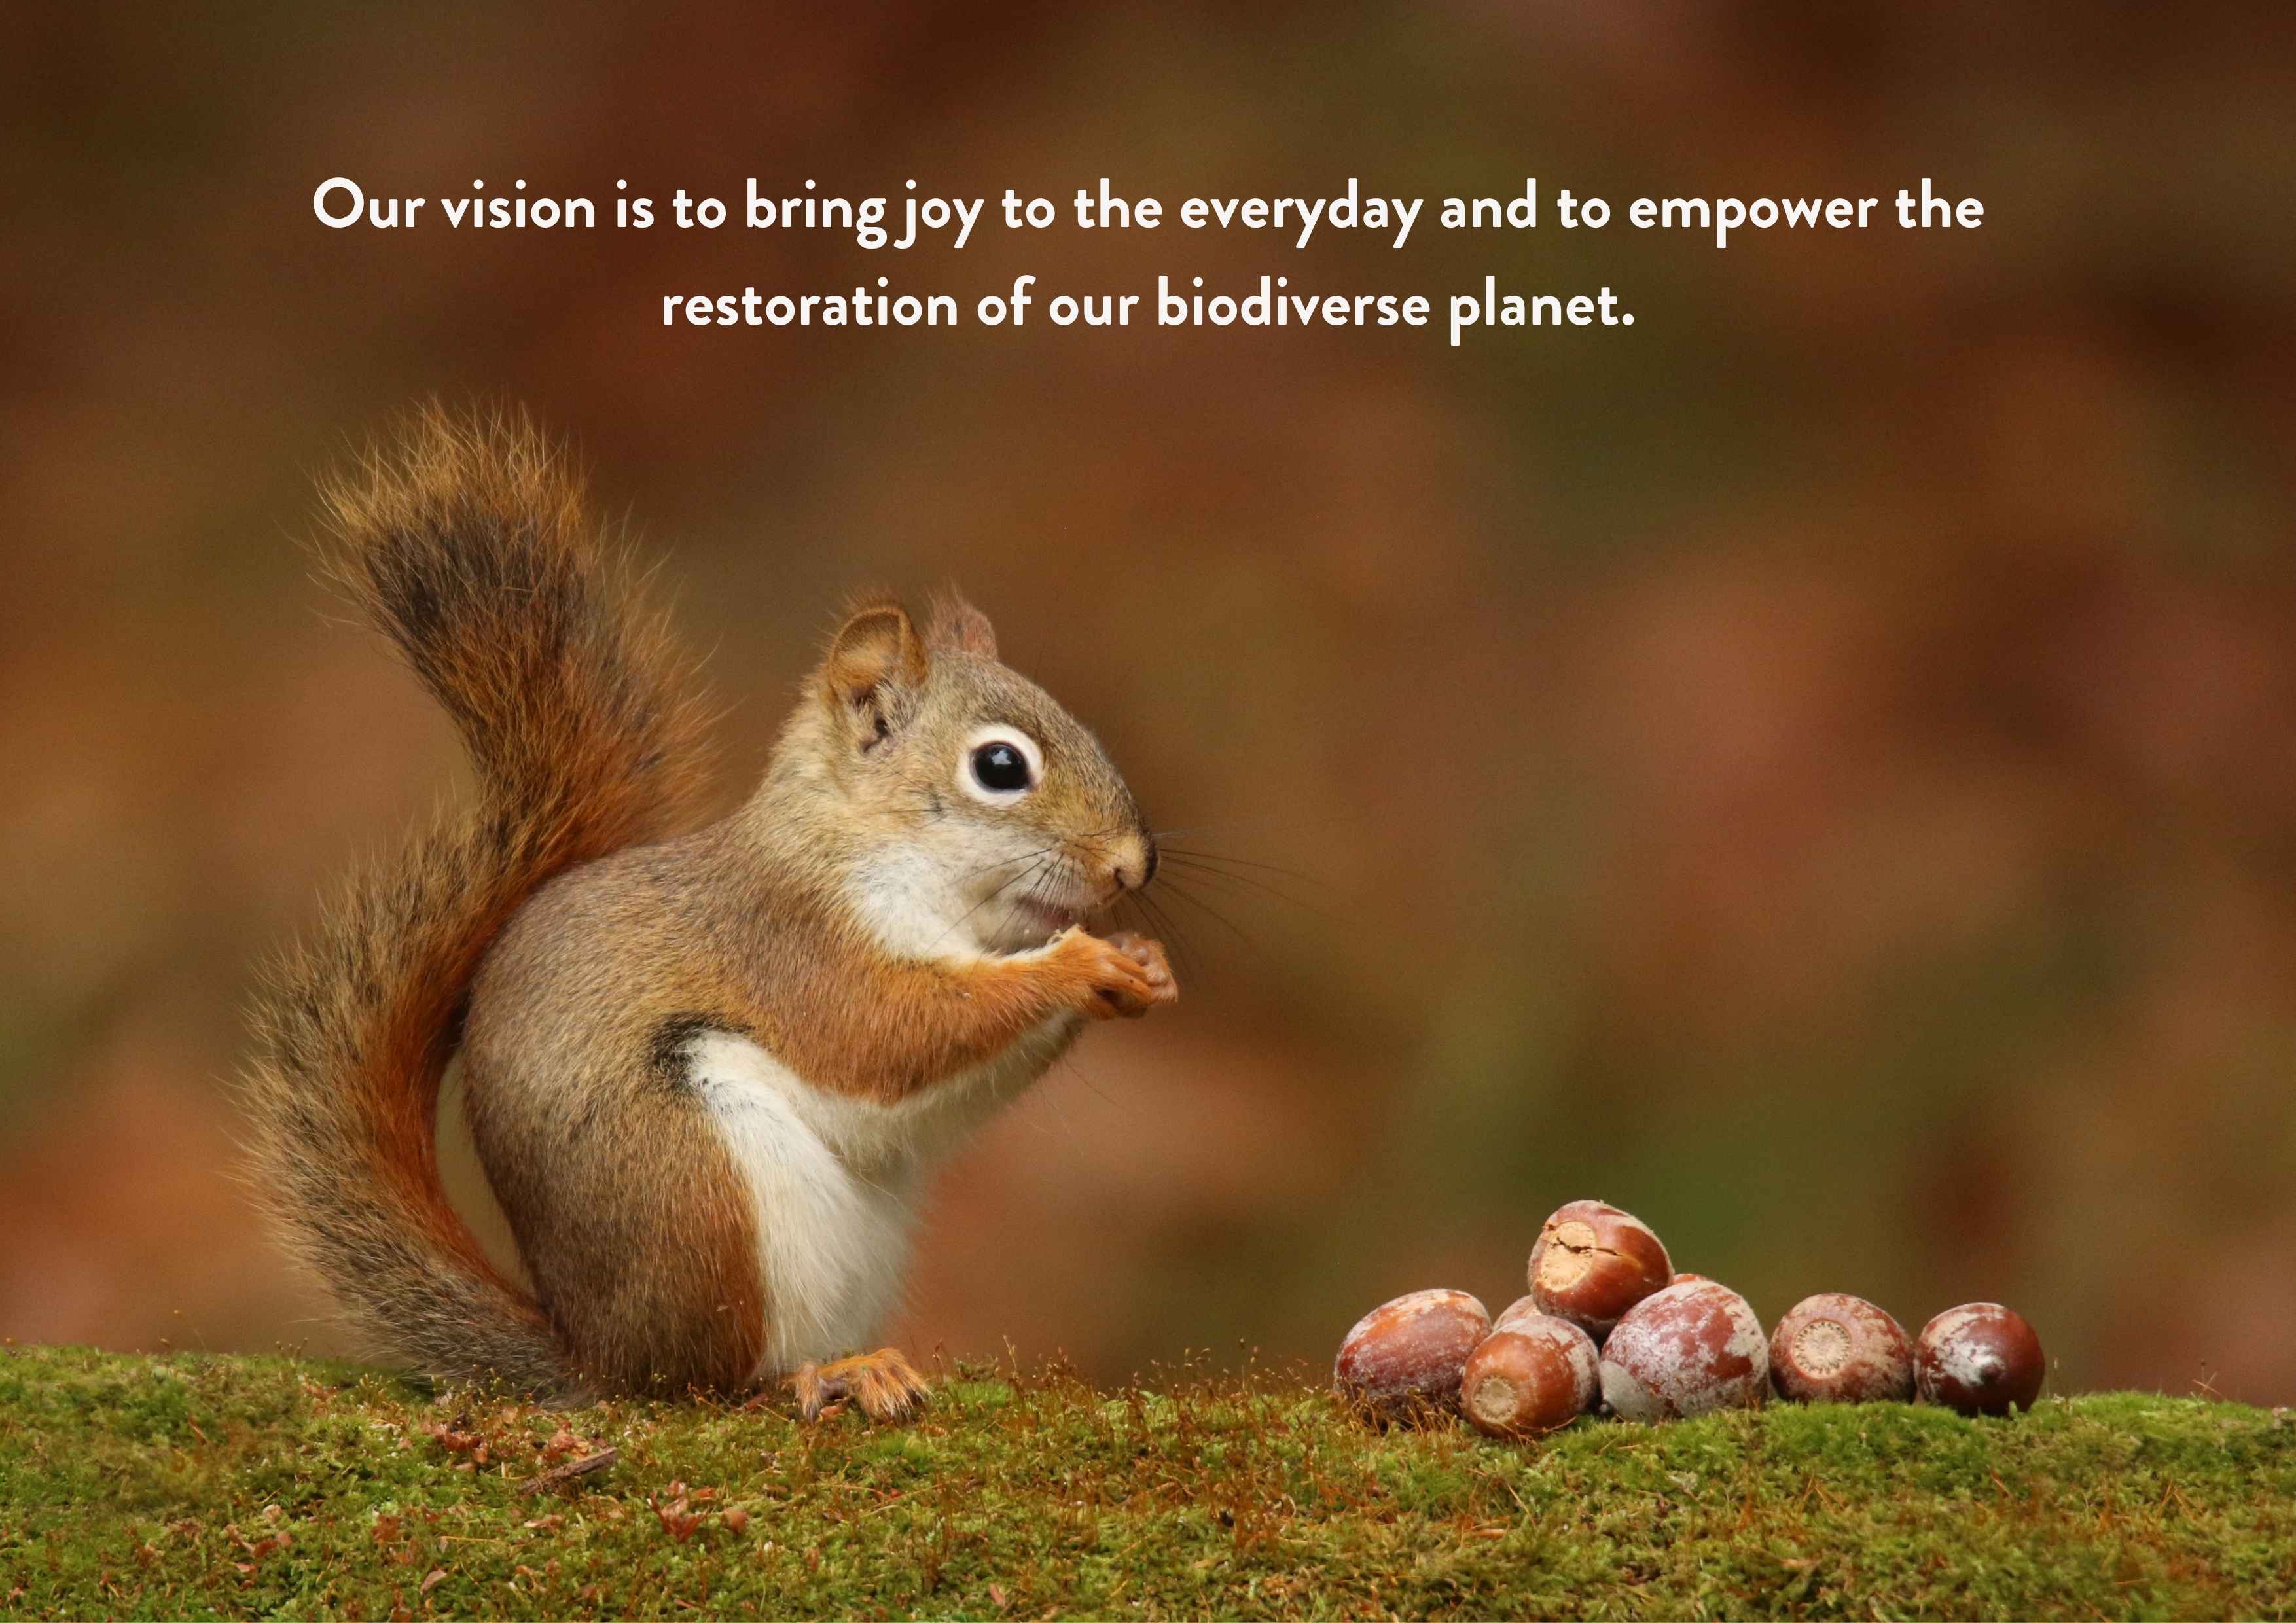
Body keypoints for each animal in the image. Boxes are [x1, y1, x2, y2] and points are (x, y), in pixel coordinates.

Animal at [241, 406, 1176, 1419]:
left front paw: (1144, 963)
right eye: (1001, 767)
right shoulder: (794, 944)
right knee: (709, 1383)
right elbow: (889, 1032)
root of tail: (598, 1358)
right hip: (698, 1185)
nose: (1134, 865)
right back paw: (826, 1376)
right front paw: (1081, 964)